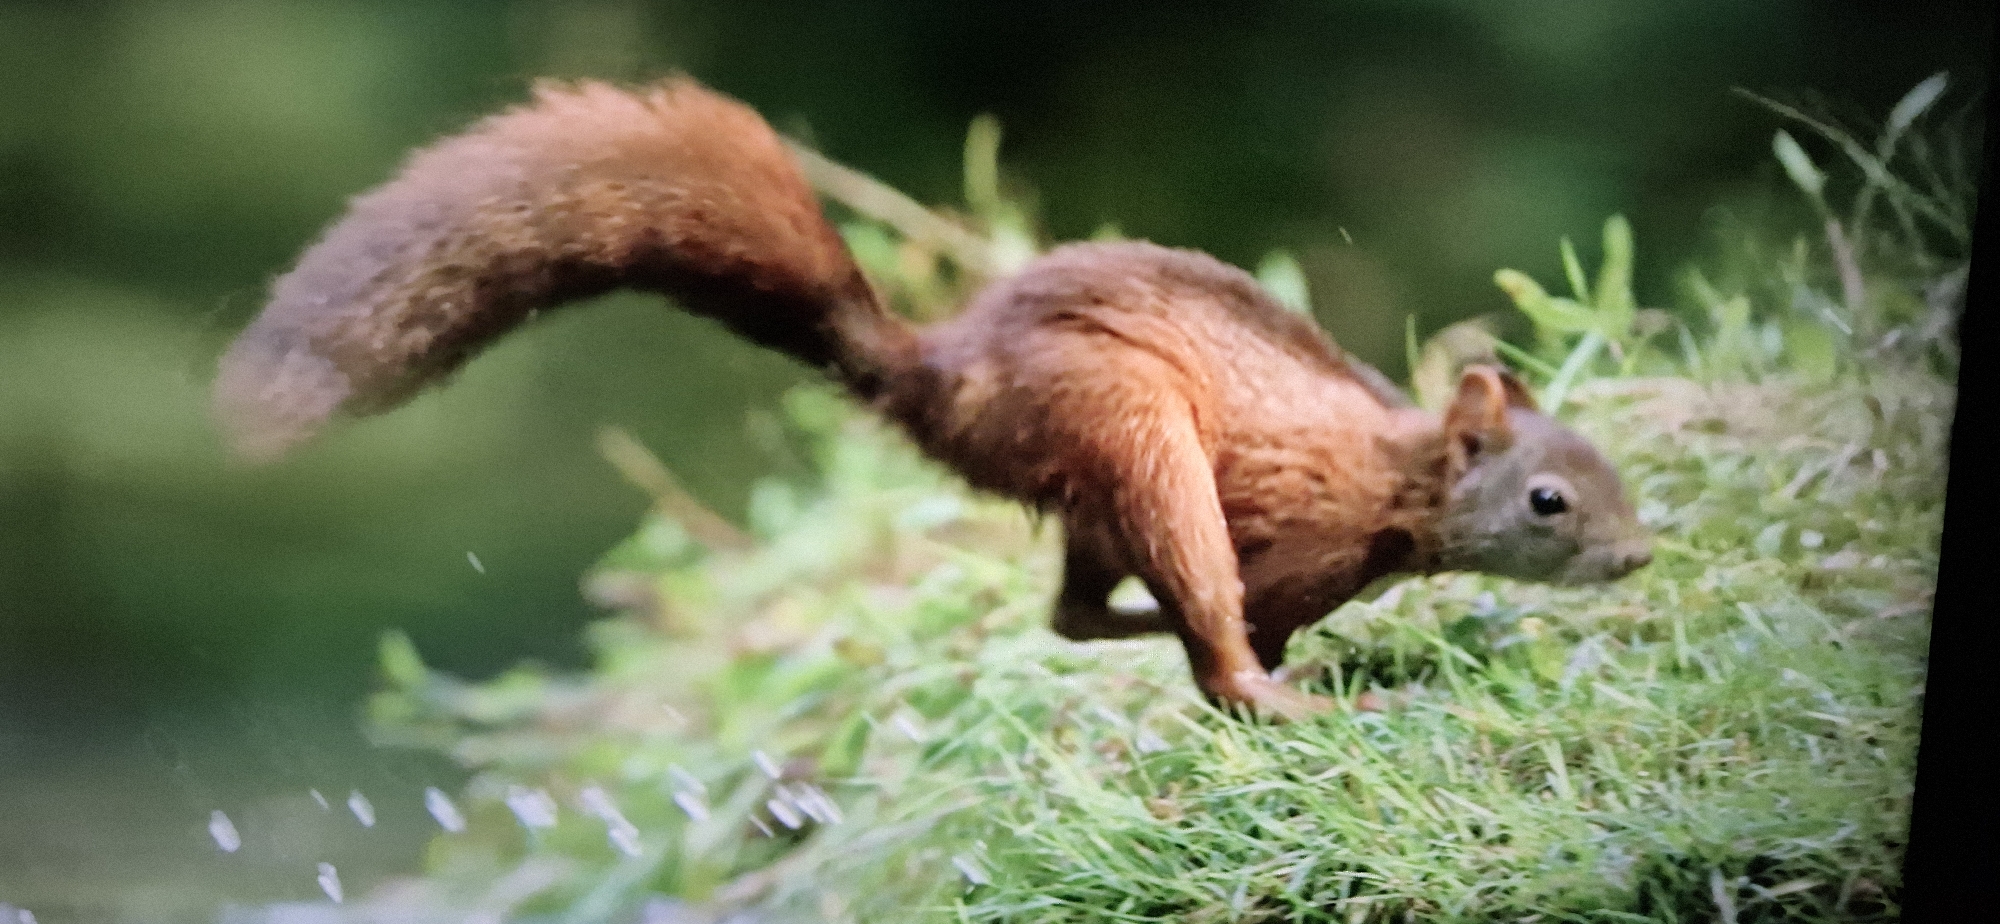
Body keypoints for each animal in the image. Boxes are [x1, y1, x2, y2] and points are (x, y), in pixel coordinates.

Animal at [213, 76, 1652, 721]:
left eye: (1616, 469)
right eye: (1546, 499)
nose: (1639, 553)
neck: (1392, 475)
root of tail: (945, 379)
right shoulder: (1296, 539)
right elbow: (1242, 628)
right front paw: (1289, 668)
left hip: (1099, 486)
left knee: (1070, 612)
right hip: (1132, 436)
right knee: (1167, 618)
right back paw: (1274, 685)